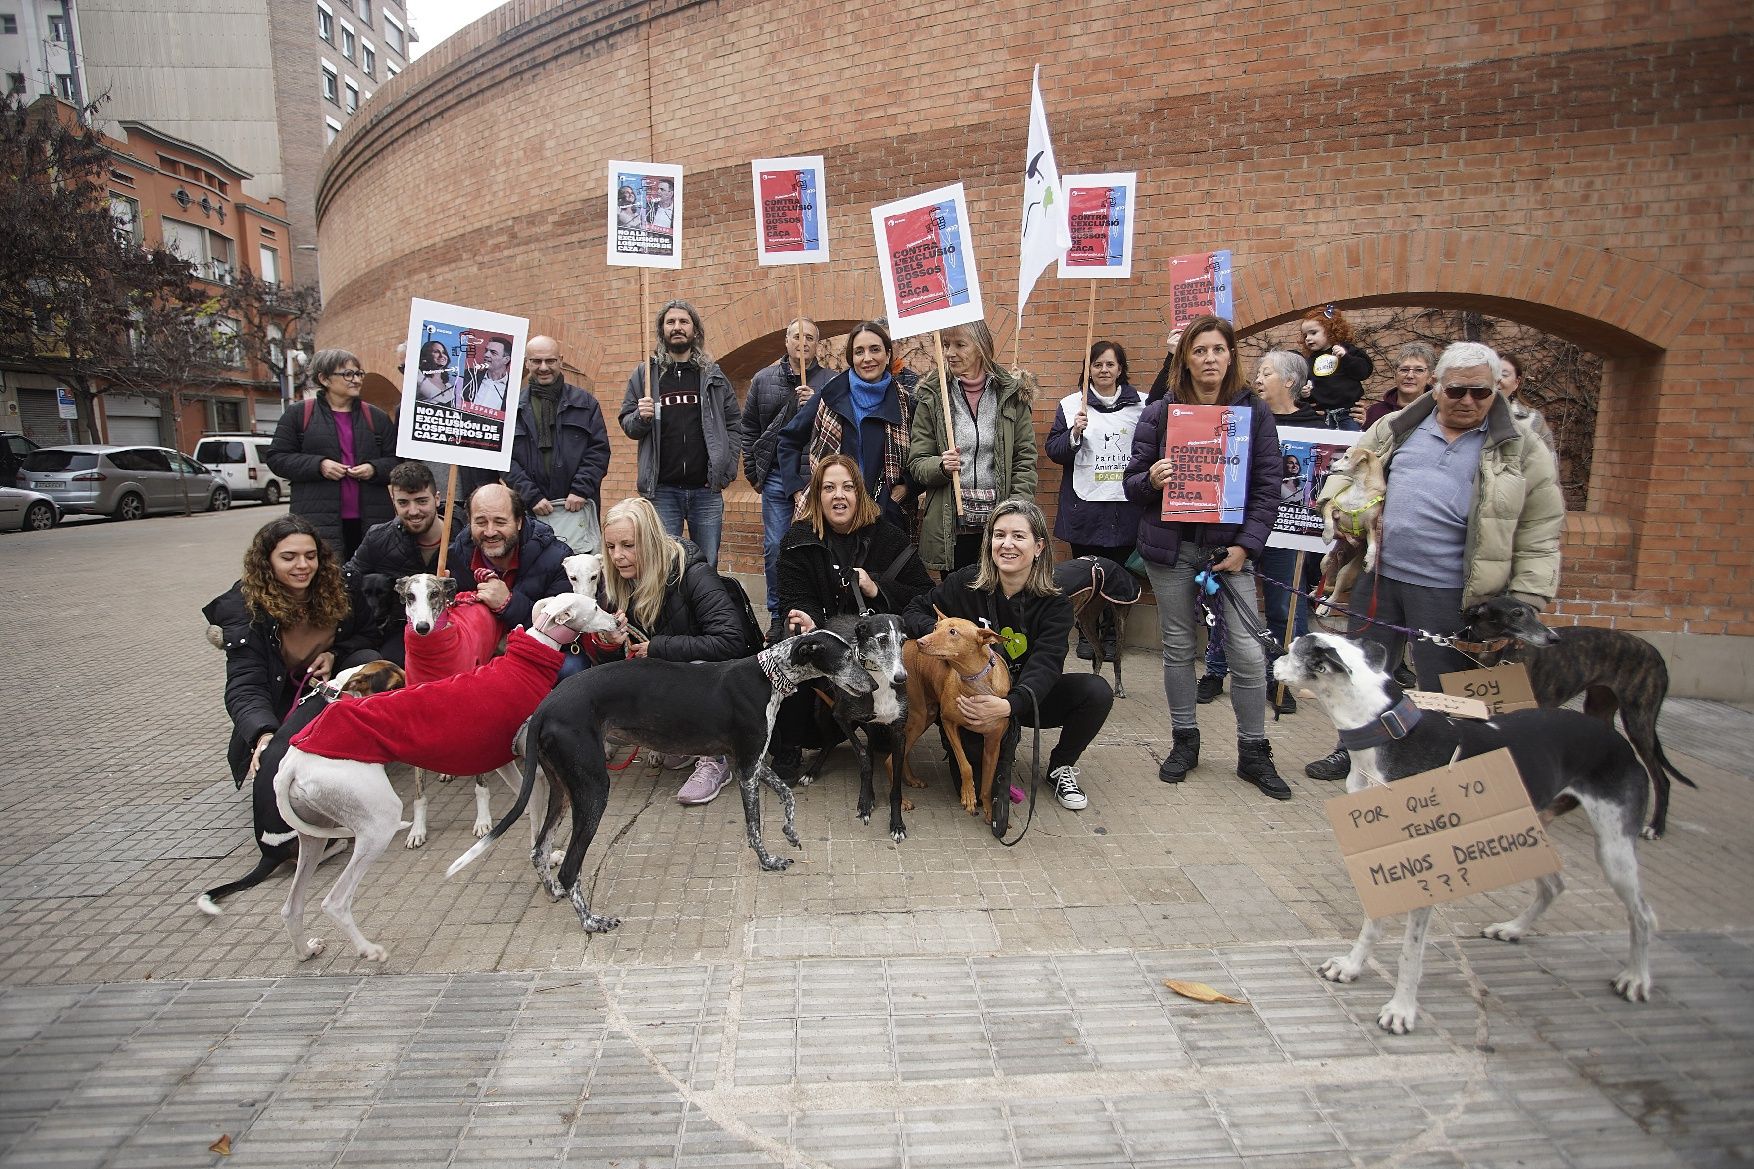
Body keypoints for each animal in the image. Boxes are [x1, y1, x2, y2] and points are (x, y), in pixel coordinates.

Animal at [905, 610, 1017, 817]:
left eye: (953, 632)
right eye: (935, 627)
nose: (921, 642)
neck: (976, 683)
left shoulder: (993, 743)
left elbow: (987, 783)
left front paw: (990, 812)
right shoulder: (948, 723)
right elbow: (965, 765)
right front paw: (969, 795)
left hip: (927, 715)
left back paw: (909, 778)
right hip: (919, 716)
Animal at [1319, 444, 1389, 617]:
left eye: (1346, 457)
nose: (1329, 466)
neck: (1360, 489)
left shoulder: (1372, 528)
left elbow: (1373, 546)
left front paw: (1369, 562)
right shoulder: (1332, 505)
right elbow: (1329, 521)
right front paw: (1328, 536)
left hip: (1345, 572)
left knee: (1335, 594)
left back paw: (1325, 606)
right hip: (1325, 561)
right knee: (1326, 586)